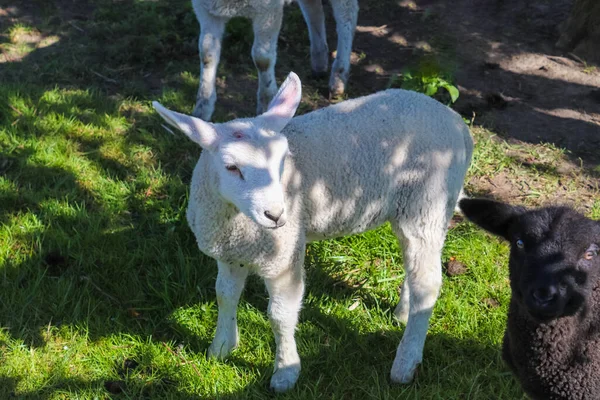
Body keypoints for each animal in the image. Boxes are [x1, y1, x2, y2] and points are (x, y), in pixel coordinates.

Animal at [154, 71, 474, 390]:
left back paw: (406, 362)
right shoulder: (231, 253)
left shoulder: (282, 257)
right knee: (415, 266)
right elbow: (225, 295)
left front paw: (285, 372)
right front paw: (221, 347)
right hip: (413, 210)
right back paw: (403, 314)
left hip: (427, 203)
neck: (236, 220)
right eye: (231, 167)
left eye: (282, 160)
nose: (276, 215)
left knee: (427, 283)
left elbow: (280, 316)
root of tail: (456, 123)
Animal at [191, 0, 356, 120]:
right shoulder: (205, 9)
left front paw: (267, 103)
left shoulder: (268, 10)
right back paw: (319, 62)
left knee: (347, 15)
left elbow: (262, 58)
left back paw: (338, 77)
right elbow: (207, 53)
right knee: (313, 9)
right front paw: (202, 109)